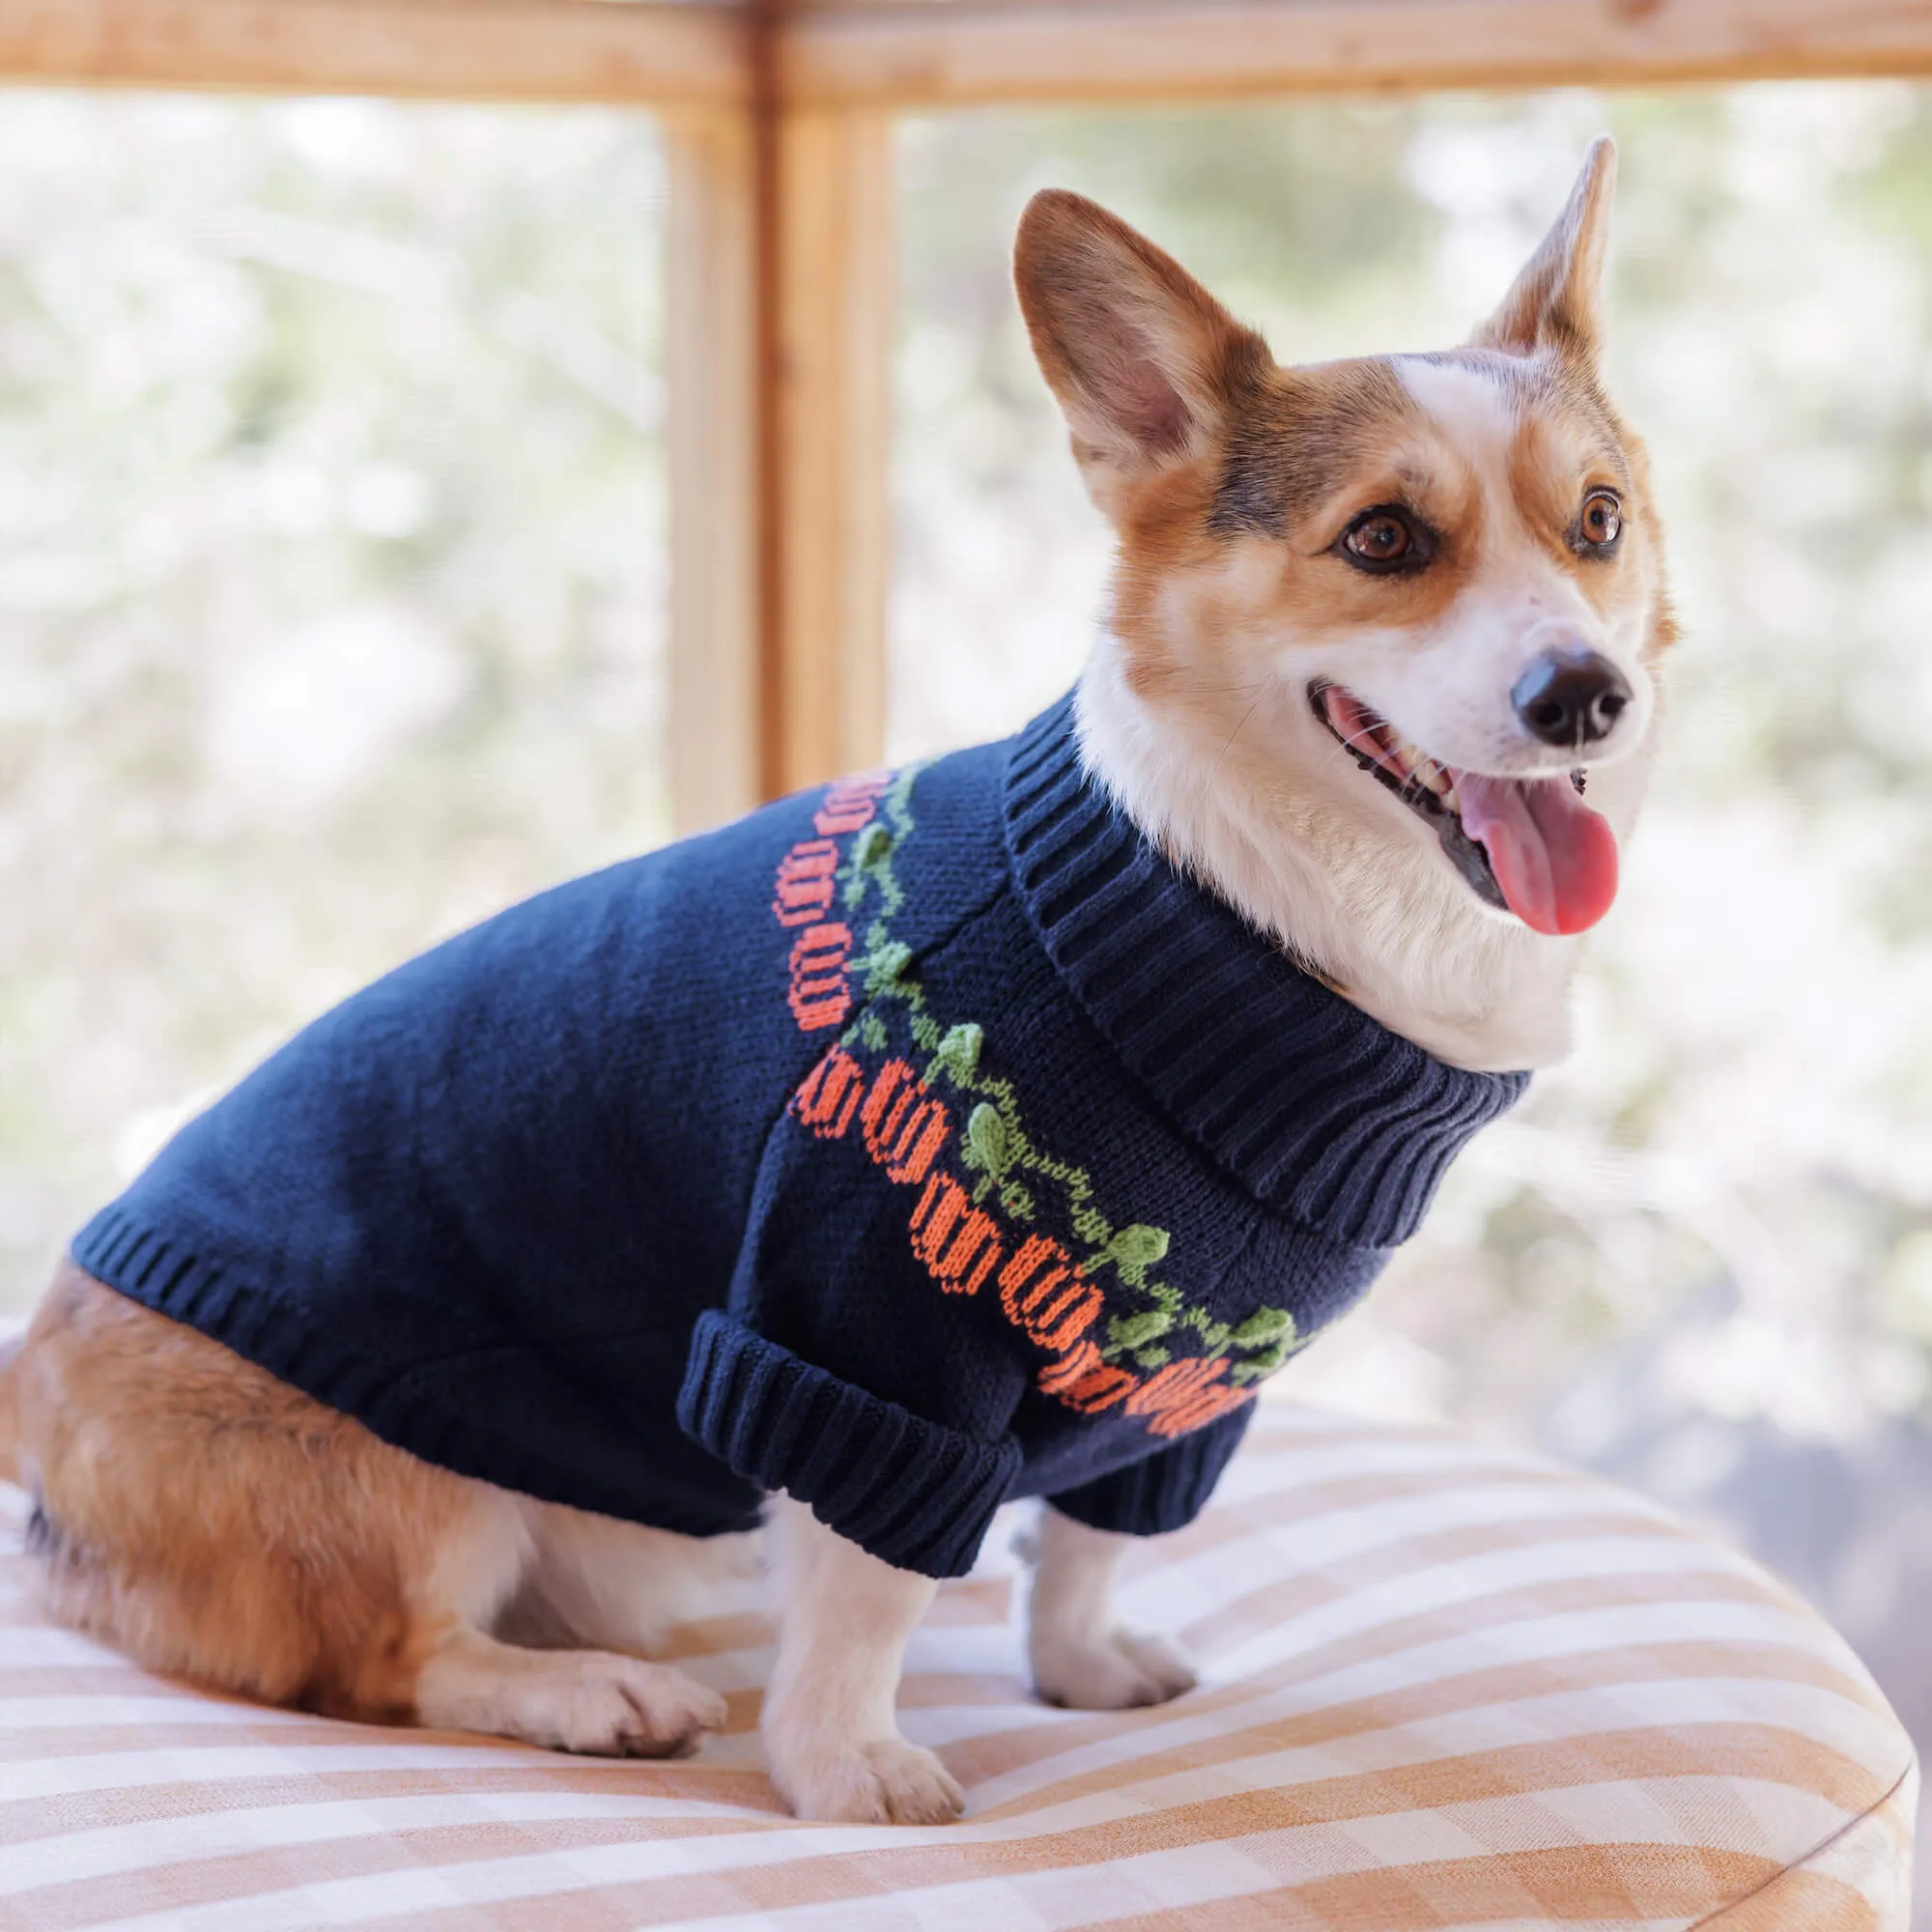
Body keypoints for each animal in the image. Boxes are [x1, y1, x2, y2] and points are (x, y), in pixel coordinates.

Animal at [0, 140, 1662, 1824]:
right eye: (1383, 540)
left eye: (1597, 522)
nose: (1587, 696)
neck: (1217, 906)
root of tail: (27, 1410)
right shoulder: (859, 1342)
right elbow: (868, 1592)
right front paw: (847, 1762)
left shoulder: (1173, 1404)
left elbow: (1087, 1548)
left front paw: (1078, 1668)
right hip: (410, 1492)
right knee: (402, 1659)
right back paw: (586, 1690)